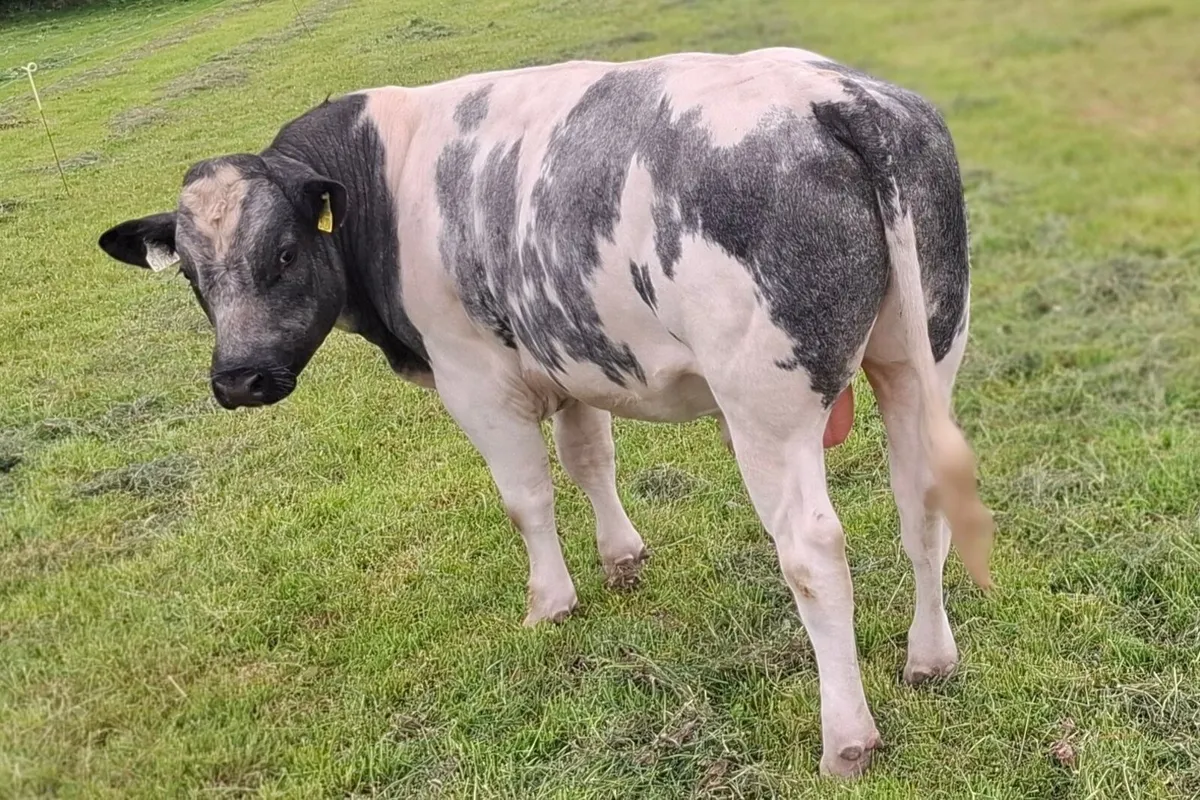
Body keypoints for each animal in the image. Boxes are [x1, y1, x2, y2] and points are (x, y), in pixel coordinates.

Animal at [97, 47, 994, 777]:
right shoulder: (570, 357)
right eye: (192, 276)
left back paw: (847, 738)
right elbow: (589, 459)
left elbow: (525, 497)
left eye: (283, 252)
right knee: (922, 504)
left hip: (764, 403)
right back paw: (931, 658)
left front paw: (550, 600)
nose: (239, 379)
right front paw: (621, 558)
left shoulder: (474, 379)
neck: (377, 177)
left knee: (812, 553)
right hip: (921, 354)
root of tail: (833, 96)